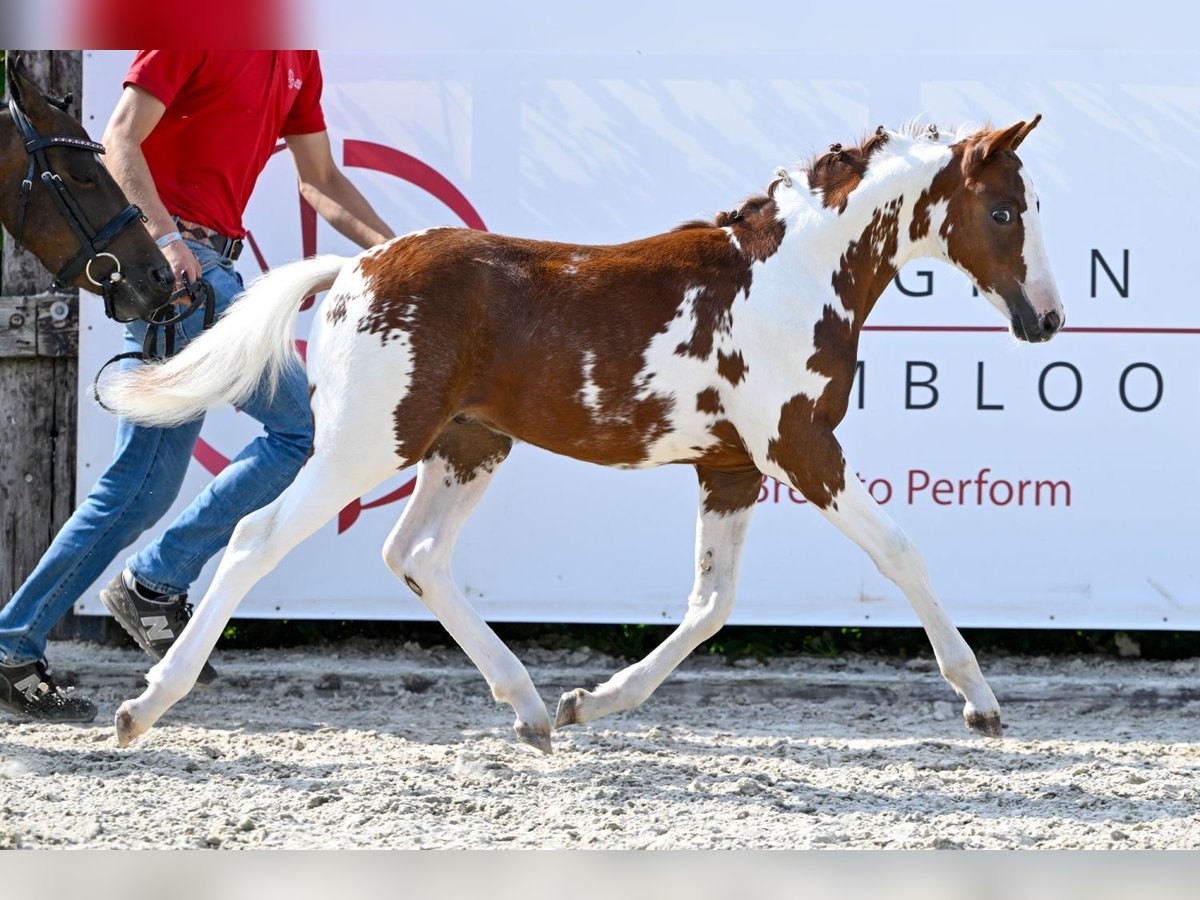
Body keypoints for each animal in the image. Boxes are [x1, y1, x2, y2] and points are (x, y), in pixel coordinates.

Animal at [103, 120, 1060, 753]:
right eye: (1006, 212)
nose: (1045, 319)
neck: (790, 279)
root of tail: (354, 269)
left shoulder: (731, 467)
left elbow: (711, 604)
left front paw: (590, 701)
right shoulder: (800, 447)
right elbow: (900, 552)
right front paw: (979, 701)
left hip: (468, 446)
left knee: (415, 555)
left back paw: (530, 708)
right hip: (366, 445)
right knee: (254, 539)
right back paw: (144, 705)